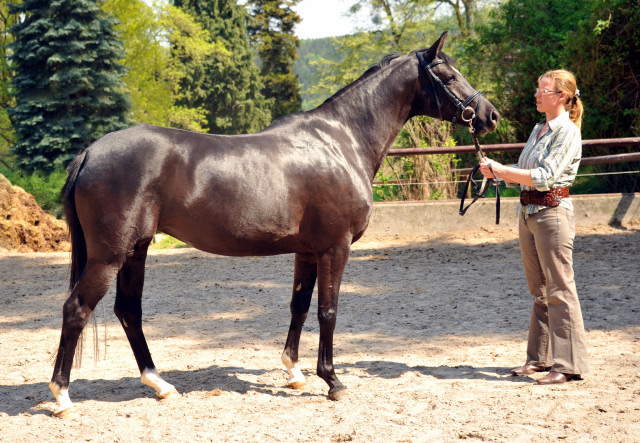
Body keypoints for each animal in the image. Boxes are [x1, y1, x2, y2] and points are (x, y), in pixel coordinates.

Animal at [50, 31, 500, 416]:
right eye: (448, 75)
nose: (490, 116)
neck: (340, 142)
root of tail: (90, 151)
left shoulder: (307, 251)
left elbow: (299, 306)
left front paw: (296, 373)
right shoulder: (335, 247)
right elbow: (328, 311)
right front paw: (333, 381)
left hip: (136, 250)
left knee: (129, 310)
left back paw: (159, 384)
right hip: (109, 256)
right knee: (77, 309)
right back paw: (62, 396)